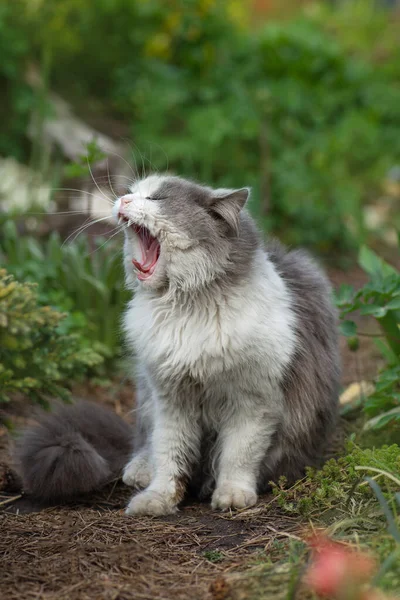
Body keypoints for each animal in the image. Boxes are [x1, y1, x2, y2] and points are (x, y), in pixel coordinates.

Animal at [112, 173, 340, 516]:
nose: (123, 200)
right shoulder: (171, 400)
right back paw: (140, 471)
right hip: (147, 395)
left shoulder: (253, 402)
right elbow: (168, 456)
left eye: (156, 199)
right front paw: (157, 500)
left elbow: (238, 456)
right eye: (132, 192)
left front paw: (232, 496)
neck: (188, 307)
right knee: (145, 442)